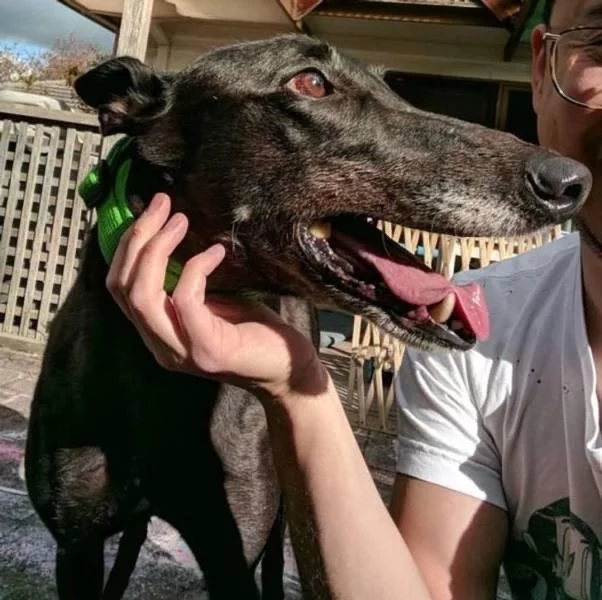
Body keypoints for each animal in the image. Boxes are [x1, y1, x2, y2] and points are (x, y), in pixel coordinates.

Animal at [24, 34, 584, 600]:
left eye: (388, 84)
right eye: (311, 83)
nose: (570, 181)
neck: (162, 378)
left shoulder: (232, 551)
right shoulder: (75, 544)